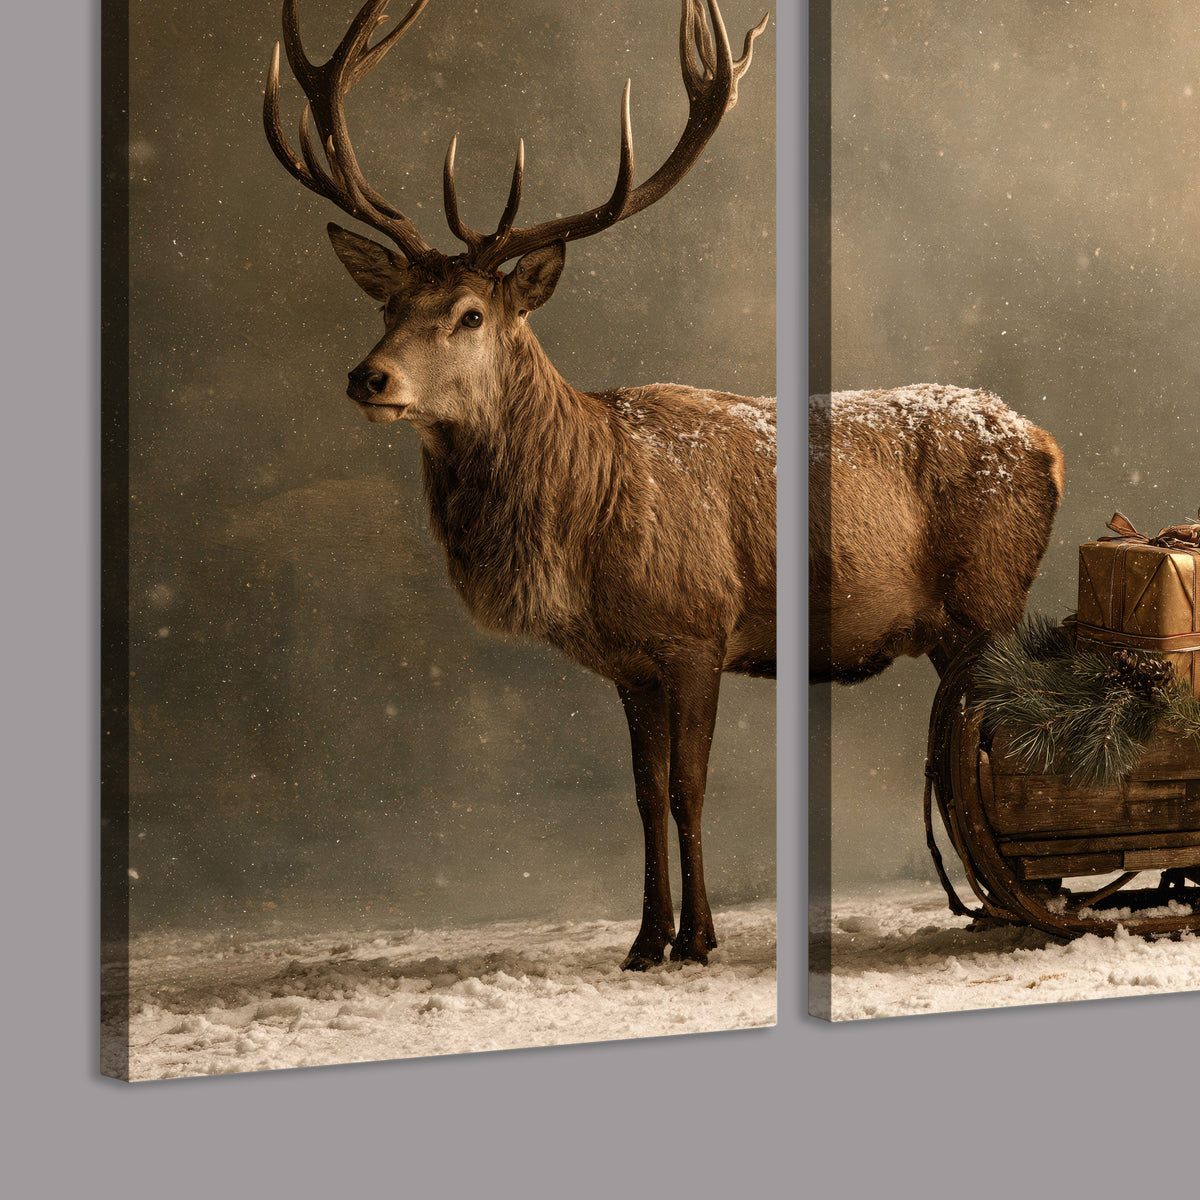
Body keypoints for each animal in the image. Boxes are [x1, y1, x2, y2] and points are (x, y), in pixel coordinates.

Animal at [263, 0, 774, 969]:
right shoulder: (628, 661)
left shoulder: (697, 632)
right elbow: (643, 794)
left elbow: (688, 788)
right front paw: (645, 940)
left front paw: (700, 939)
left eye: (470, 314)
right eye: (388, 305)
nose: (368, 378)